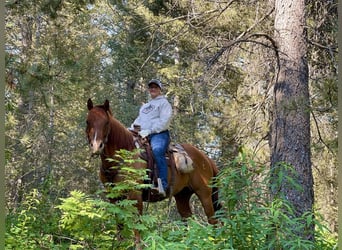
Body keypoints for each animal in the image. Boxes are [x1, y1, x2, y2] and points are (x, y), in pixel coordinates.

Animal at [85, 98, 222, 246]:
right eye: (88, 121)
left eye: (106, 122)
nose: (96, 146)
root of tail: (206, 158)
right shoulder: (113, 196)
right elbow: (119, 224)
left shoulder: (135, 194)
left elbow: (137, 224)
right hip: (182, 195)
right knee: (187, 219)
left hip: (205, 194)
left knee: (212, 220)